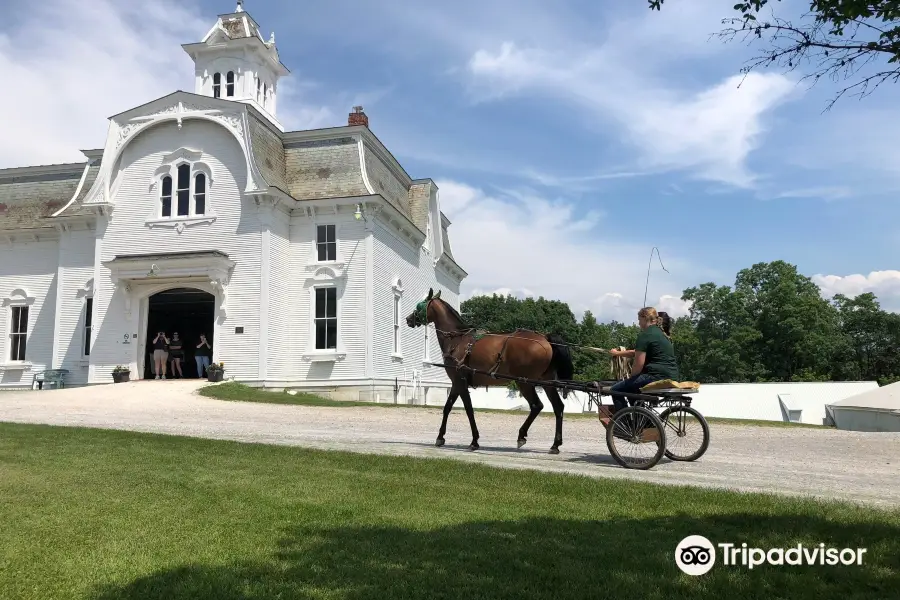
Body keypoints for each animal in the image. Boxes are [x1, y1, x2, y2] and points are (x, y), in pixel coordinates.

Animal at [404, 288, 572, 452]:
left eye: (420, 304)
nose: (408, 319)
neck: (457, 339)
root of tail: (545, 338)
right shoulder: (456, 383)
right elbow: (447, 407)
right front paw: (440, 437)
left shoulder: (460, 381)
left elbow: (468, 410)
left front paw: (474, 441)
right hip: (546, 381)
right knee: (558, 407)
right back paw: (555, 444)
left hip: (524, 382)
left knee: (537, 406)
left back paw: (522, 435)